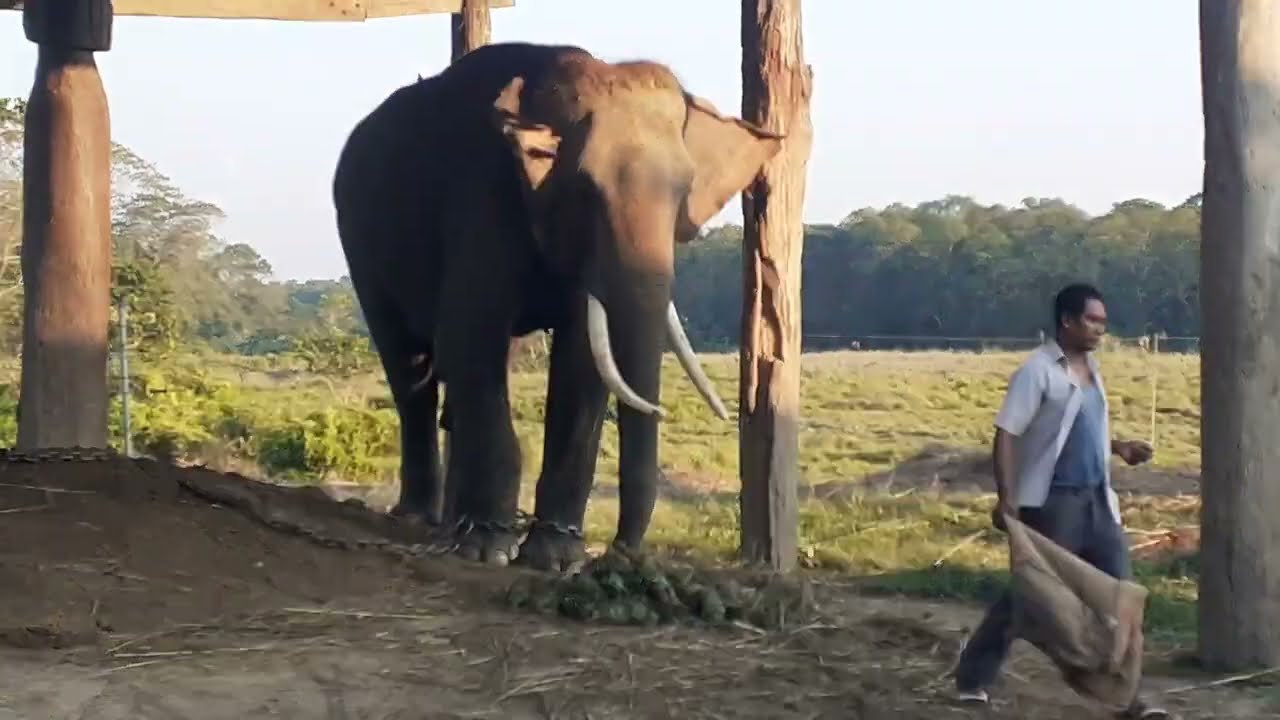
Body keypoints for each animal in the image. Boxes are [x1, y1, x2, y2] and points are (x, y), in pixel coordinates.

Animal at [331, 41, 783, 571]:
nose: (622, 552)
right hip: (360, 242)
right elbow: (472, 334)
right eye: (584, 190)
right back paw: (422, 519)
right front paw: (490, 551)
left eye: (684, 191)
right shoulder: (481, 198)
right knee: (409, 369)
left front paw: (555, 559)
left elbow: (581, 360)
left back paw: (451, 523)